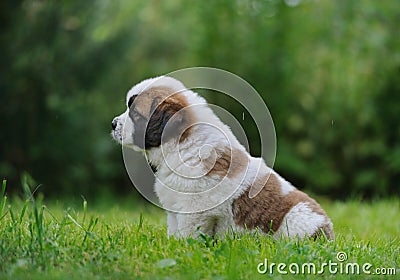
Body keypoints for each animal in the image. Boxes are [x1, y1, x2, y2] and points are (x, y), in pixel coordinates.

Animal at [111, 76, 332, 241]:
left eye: (135, 113)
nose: (113, 124)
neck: (183, 142)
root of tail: (327, 230)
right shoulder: (175, 211)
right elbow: (174, 231)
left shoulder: (194, 211)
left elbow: (188, 235)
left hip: (296, 220)